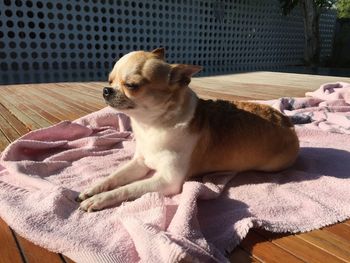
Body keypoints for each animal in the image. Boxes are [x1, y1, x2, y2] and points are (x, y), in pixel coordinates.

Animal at [78, 48, 300, 212]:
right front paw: (94, 189)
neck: (152, 125)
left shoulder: (167, 181)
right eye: (109, 80)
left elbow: (127, 189)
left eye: (132, 86)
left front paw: (100, 199)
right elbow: (115, 177)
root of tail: (287, 122)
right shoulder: (140, 163)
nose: (106, 90)